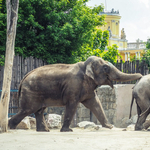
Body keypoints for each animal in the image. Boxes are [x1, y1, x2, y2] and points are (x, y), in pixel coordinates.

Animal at [8, 56, 142, 131]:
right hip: (31, 93)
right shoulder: (74, 86)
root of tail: (23, 78)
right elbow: (72, 104)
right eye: (105, 68)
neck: (84, 65)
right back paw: (10, 127)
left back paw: (44, 131)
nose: (141, 76)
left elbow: (95, 103)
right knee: (27, 110)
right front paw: (68, 131)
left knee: (39, 111)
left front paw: (109, 127)